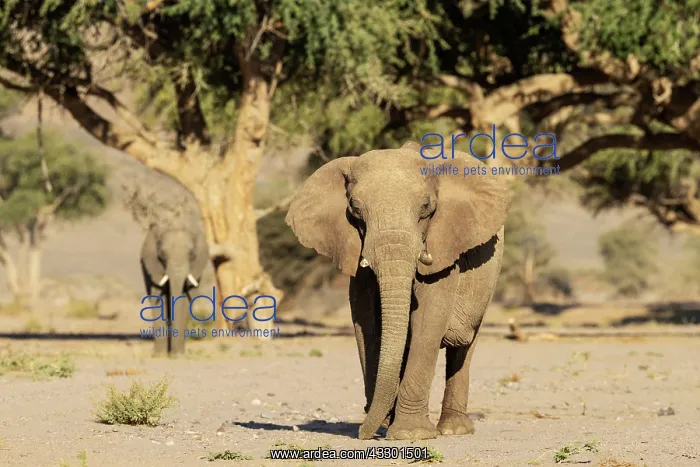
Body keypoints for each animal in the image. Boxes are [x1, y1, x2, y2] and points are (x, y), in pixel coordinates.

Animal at [140, 222, 209, 355]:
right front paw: (160, 355)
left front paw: (179, 354)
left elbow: (186, 301)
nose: (173, 353)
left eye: (191, 254)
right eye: (163, 255)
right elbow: (159, 297)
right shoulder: (153, 266)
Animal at [285, 141, 511, 440]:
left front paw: (410, 434)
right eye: (355, 209)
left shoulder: (443, 249)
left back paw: (453, 429)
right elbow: (367, 326)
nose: (362, 433)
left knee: (464, 346)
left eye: (426, 207)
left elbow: (428, 321)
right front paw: (385, 423)